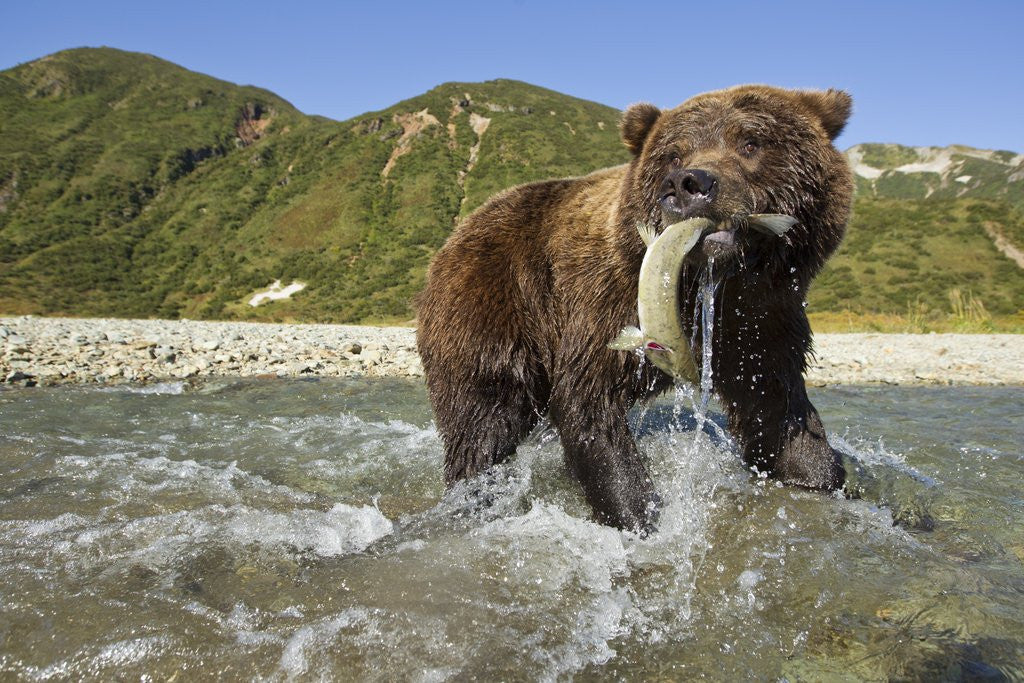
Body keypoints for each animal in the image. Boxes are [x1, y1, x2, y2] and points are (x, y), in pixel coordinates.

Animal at [415, 85, 853, 533]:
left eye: (751, 142)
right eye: (674, 154)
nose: (687, 183)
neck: (717, 282)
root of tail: (461, 228)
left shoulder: (765, 318)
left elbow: (778, 406)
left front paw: (818, 473)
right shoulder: (603, 300)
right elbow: (589, 401)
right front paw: (638, 514)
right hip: (493, 299)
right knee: (483, 417)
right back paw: (475, 490)